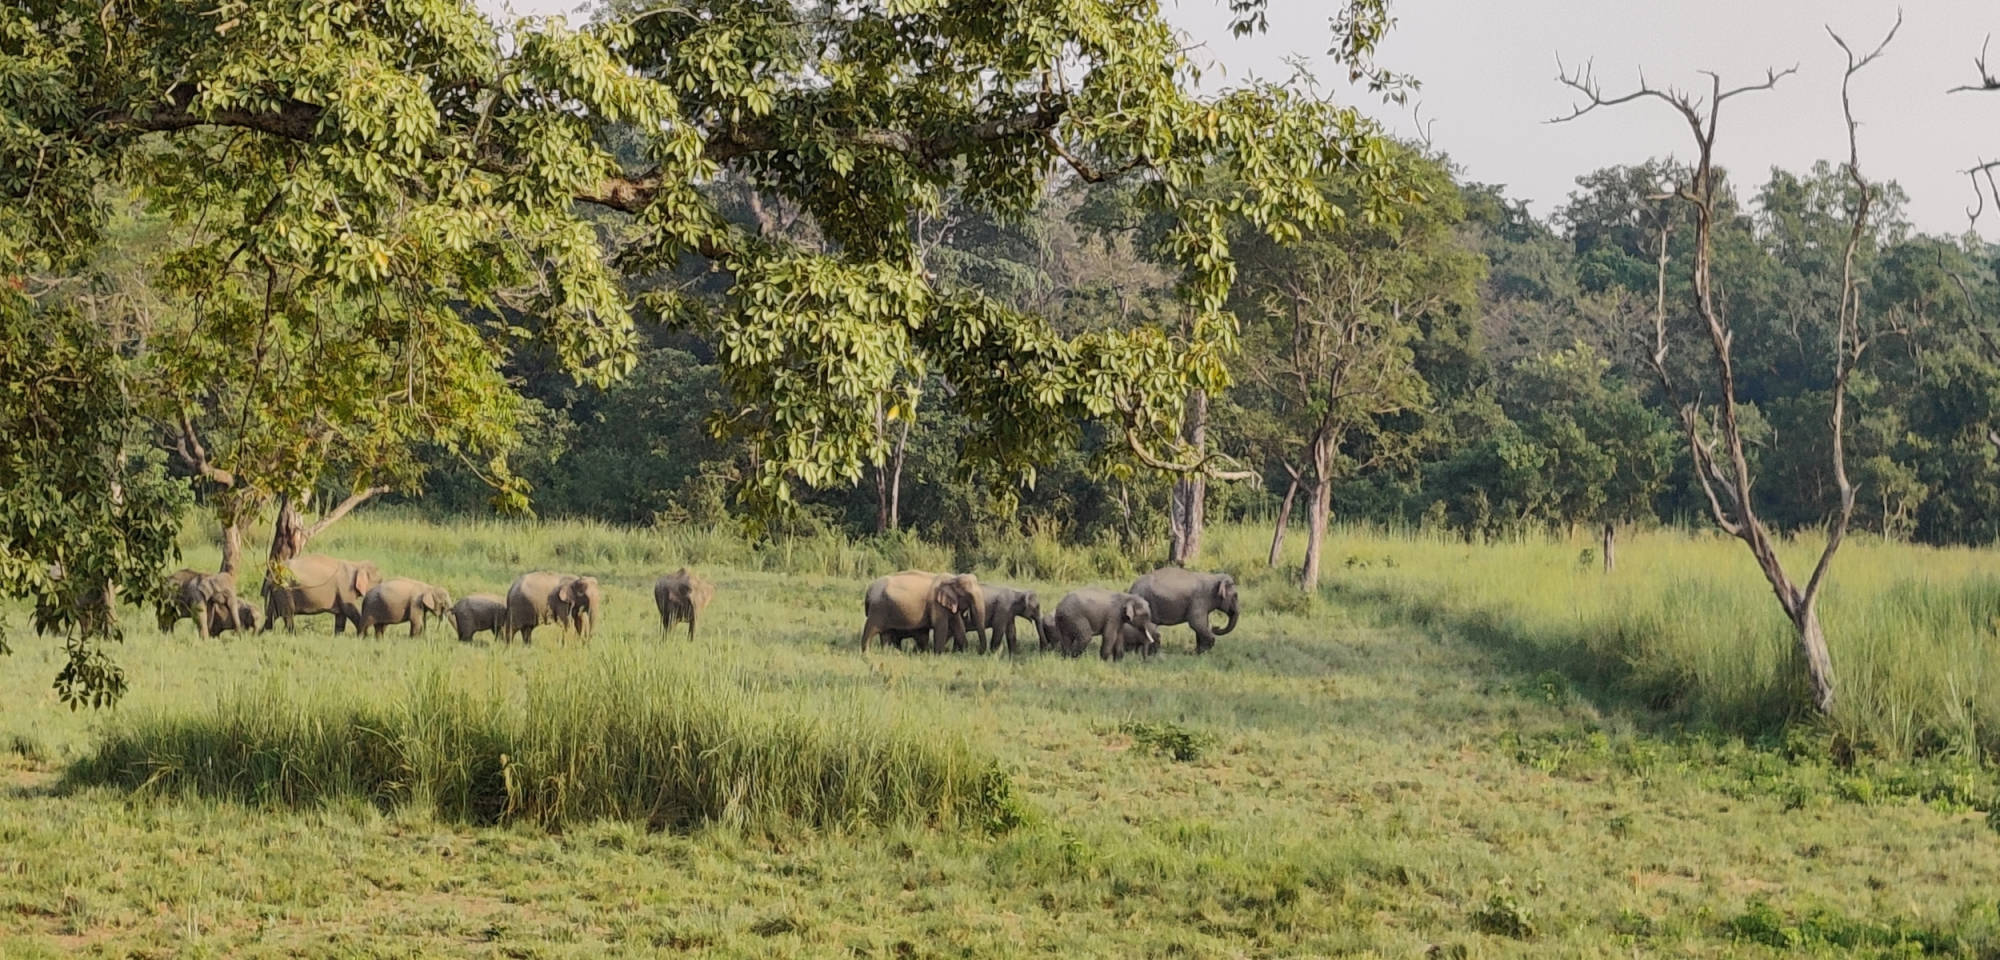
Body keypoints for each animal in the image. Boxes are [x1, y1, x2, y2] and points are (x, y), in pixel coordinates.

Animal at [856, 568, 988, 652]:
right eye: (968, 595)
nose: (979, 651)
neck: (952, 578)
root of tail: (869, 588)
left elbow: (958, 626)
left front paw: (965, 652)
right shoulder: (936, 605)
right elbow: (941, 627)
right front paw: (939, 655)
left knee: (886, 635)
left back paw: (888, 653)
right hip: (877, 609)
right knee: (871, 630)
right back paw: (866, 653)